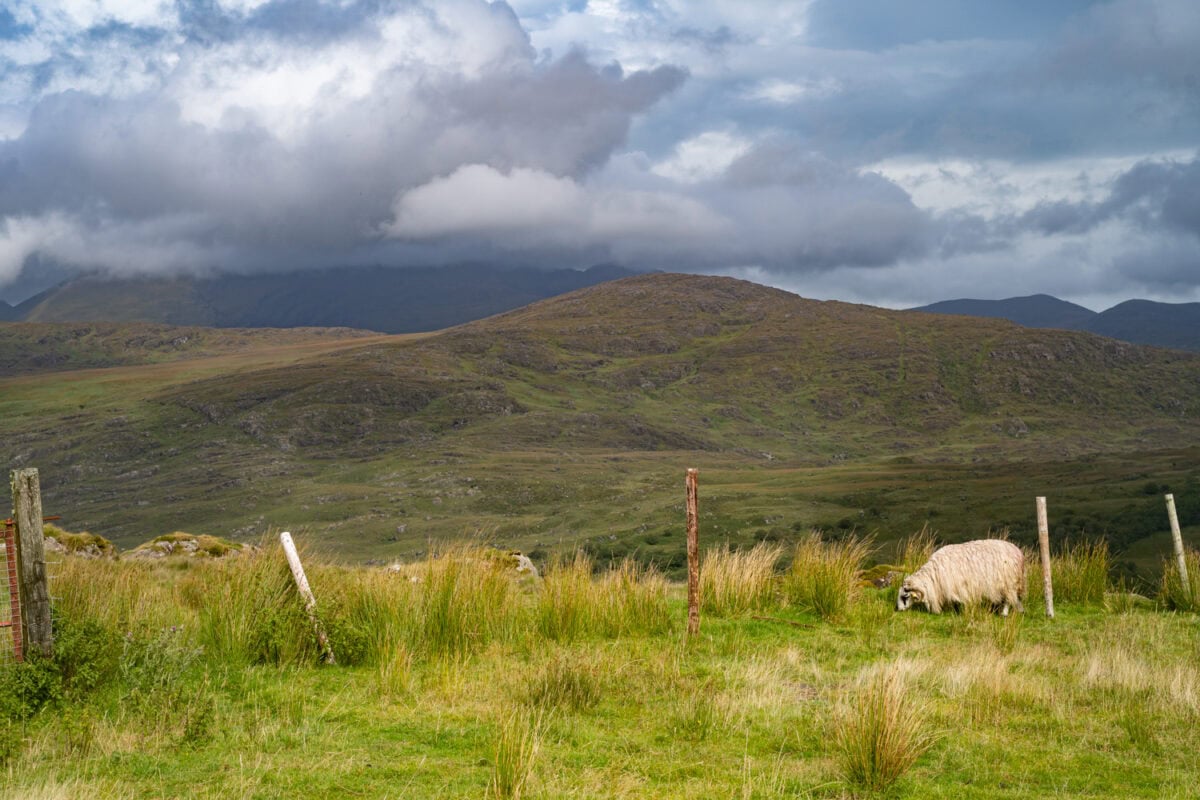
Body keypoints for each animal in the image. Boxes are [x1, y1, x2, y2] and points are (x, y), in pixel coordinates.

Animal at [897, 542, 1027, 618]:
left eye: (904, 597)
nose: (898, 610)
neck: (933, 576)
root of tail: (1018, 552)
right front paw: (955, 612)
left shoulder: (958, 587)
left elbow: (960, 601)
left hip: (1009, 583)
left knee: (1008, 600)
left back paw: (1004, 614)